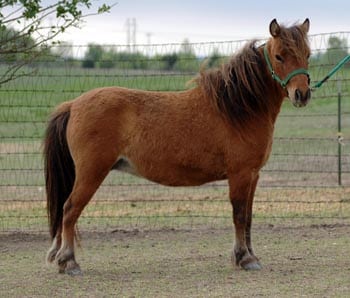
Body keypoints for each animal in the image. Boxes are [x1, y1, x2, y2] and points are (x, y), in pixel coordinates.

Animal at [44, 18, 312, 274]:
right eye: (279, 56)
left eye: (308, 54)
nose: (302, 94)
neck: (238, 109)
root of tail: (73, 105)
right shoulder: (241, 175)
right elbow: (238, 215)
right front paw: (244, 258)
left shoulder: (253, 176)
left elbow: (248, 218)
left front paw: (249, 256)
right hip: (91, 173)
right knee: (69, 210)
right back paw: (69, 262)